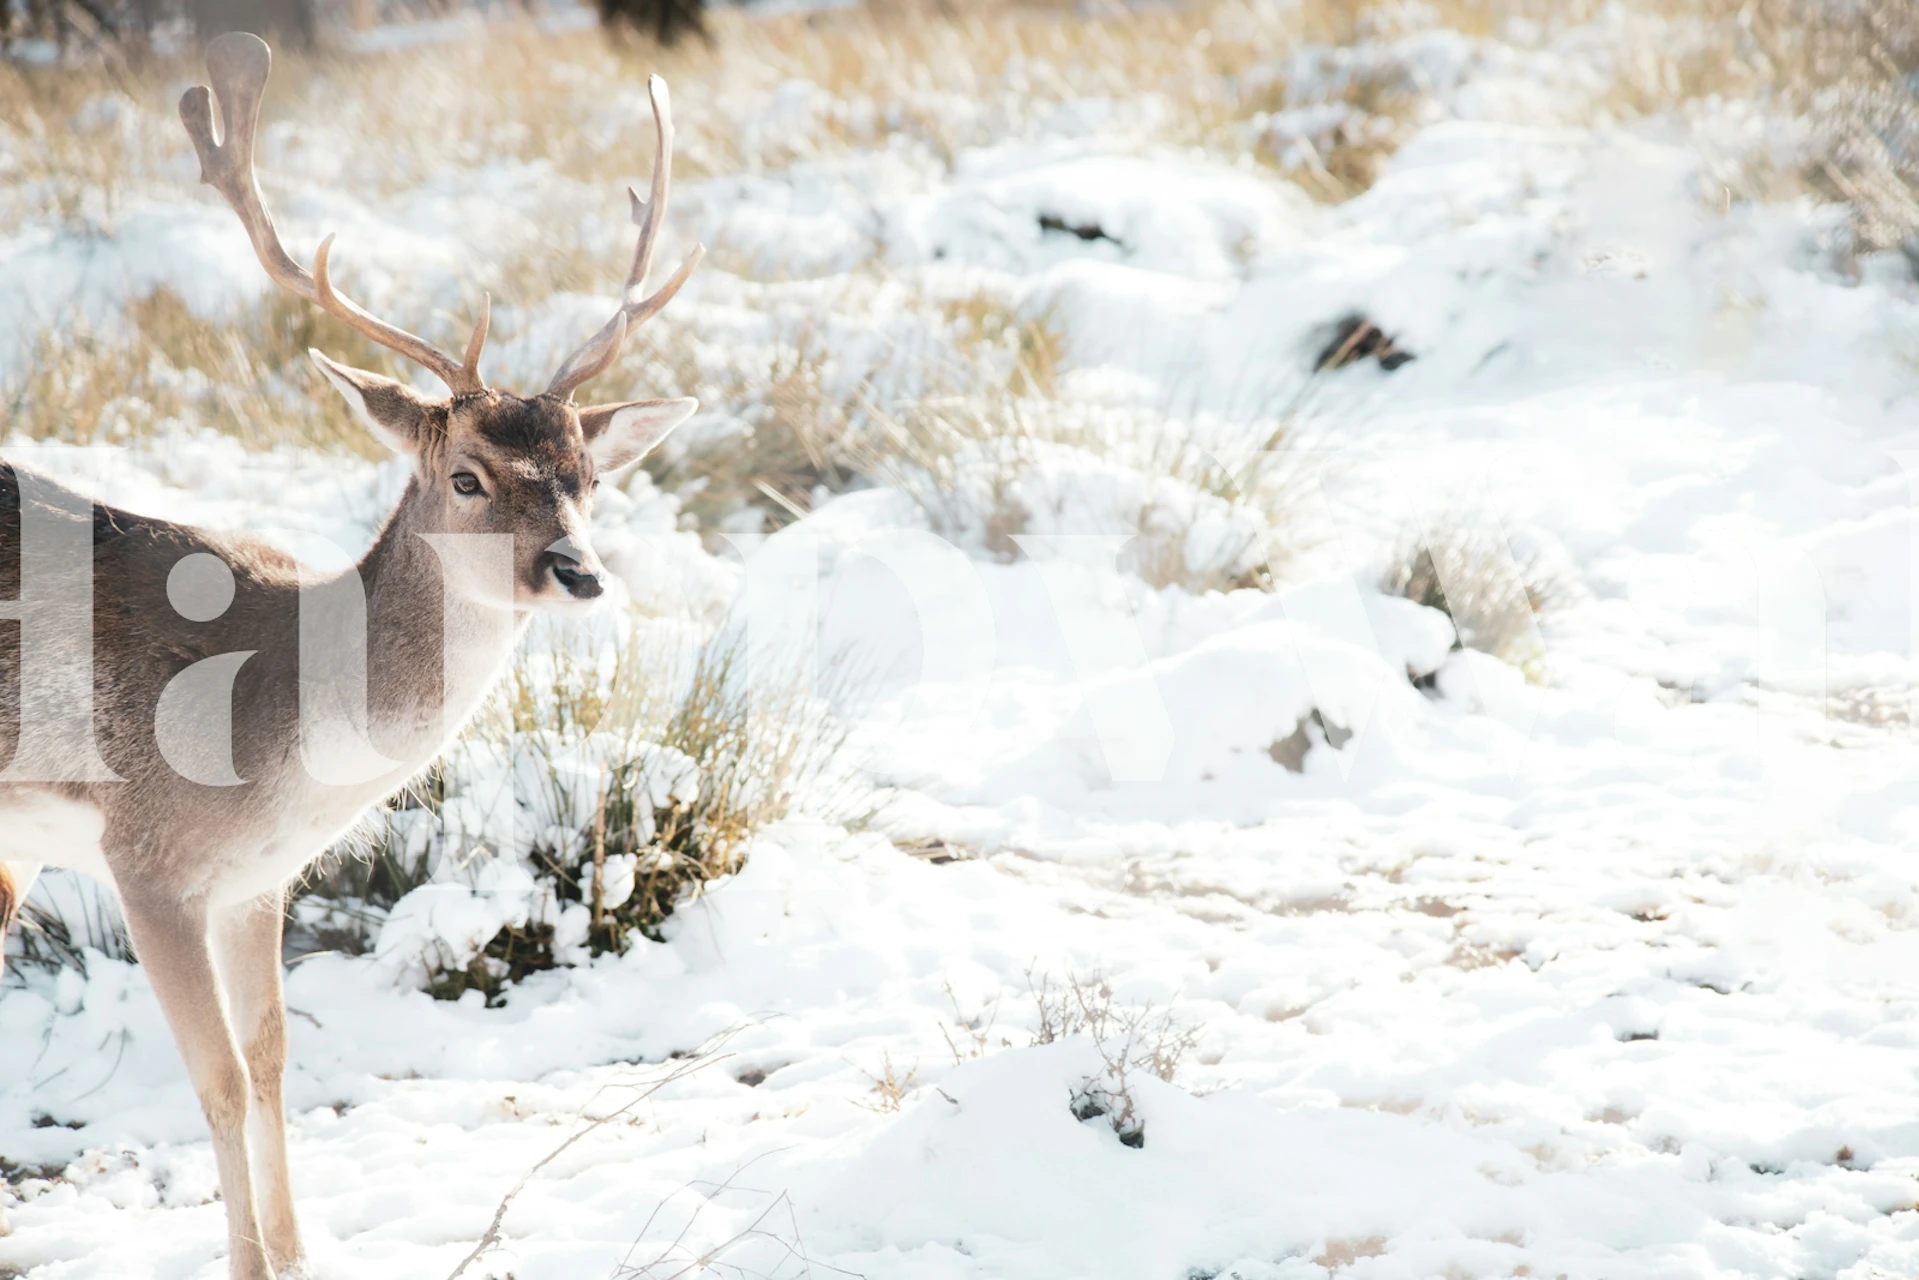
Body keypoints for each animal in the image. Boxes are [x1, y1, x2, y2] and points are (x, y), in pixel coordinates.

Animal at [0, 32, 702, 1278]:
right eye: (466, 473)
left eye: (589, 475)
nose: (579, 570)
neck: (279, 733)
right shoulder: (148, 856)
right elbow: (219, 1081)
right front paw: (245, 1260)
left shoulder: (256, 880)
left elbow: (274, 1062)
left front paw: (292, 1252)